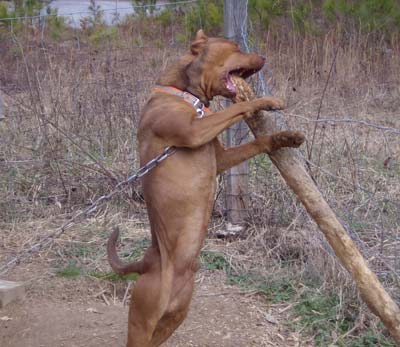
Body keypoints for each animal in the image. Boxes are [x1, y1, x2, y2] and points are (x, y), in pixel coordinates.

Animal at [108, 30, 304, 347]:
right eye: (234, 47)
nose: (263, 56)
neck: (185, 95)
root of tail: (147, 263)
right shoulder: (193, 131)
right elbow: (239, 106)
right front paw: (267, 100)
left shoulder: (220, 156)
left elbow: (258, 142)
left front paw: (284, 137)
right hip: (142, 318)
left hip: (174, 316)